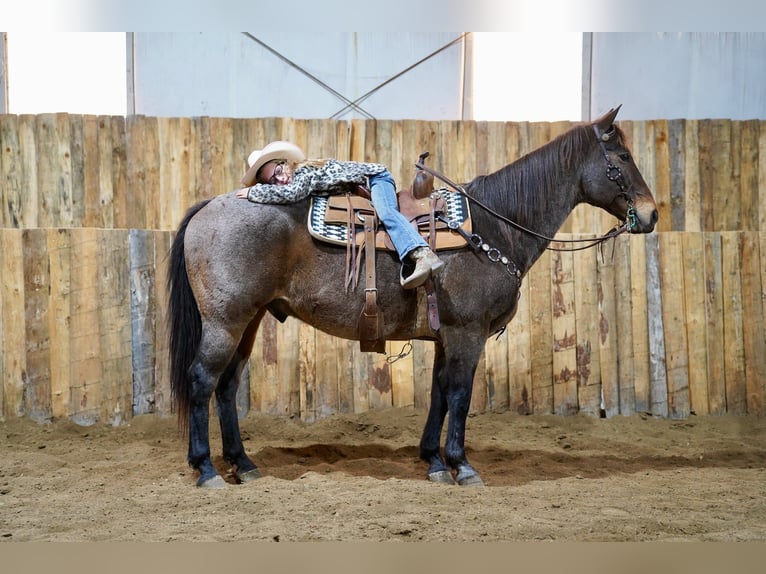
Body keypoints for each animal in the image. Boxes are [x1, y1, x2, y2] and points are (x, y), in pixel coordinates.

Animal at [167, 106, 658, 488]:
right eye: (622, 157)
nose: (652, 214)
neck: (493, 226)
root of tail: (211, 204)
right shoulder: (467, 334)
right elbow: (460, 395)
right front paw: (462, 465)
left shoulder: (447, 336)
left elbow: (439, 393)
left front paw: (435, 461)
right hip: (225, 321)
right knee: (202, 381)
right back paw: (207, 469)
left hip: (248, 320)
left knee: (227, 386)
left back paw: (243, 464)